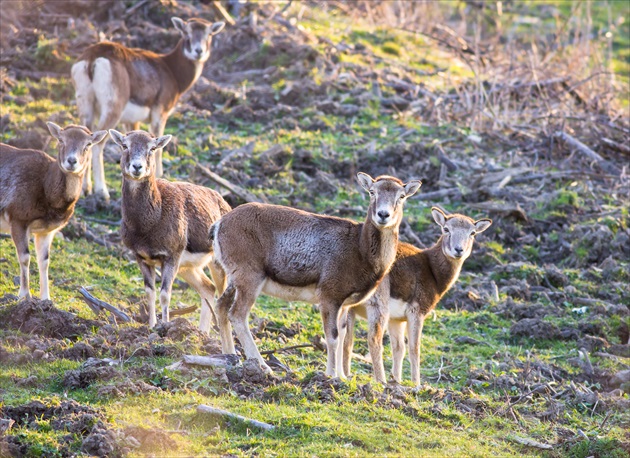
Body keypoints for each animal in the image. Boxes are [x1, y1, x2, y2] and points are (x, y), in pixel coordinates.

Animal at [0, 122, 107, 300]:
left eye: (88, 144)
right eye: (61, 140)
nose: (72, 161)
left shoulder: (46, 230)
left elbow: (44, 261)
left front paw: (46, 299)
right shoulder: (18, 218)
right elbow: (25, 257)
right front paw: (24, 296)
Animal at [111, 129, 232, 332]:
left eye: (152, 148)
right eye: (124, 145)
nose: (137, 167)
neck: (145, 229)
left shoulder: (172, 253)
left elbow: (165, 294)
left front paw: (165, 327)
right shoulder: (140, 256)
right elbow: (150, 293)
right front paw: (151, 326)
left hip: (217, 262)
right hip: (188, 267)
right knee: (208, 287)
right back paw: (202, 333)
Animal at [346, 209, 494, 384]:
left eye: (472, 233)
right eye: (446, 229)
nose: (458, 250)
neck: (434, 273)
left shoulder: (396, 319)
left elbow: (399, 347)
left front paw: (397, 381)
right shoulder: (417, 310)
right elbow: (414, 348)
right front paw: (416, 384)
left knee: (347, 339)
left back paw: (344, 376)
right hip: (377, 303)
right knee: (373, 339)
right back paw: (380, 381)